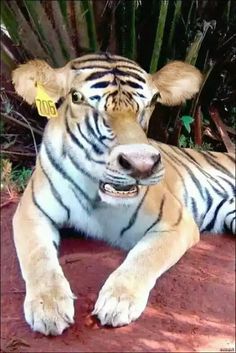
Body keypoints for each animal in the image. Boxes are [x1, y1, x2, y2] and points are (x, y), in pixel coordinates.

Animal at [12, 53, 235, 336]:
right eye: (77, 97)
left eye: (153, 100)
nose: (141, 165)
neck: (95, 190)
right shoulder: (30, 213)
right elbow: (38, 258)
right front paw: (48, 306)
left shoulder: (175, 222)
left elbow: (144, 256)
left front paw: (118, 301)